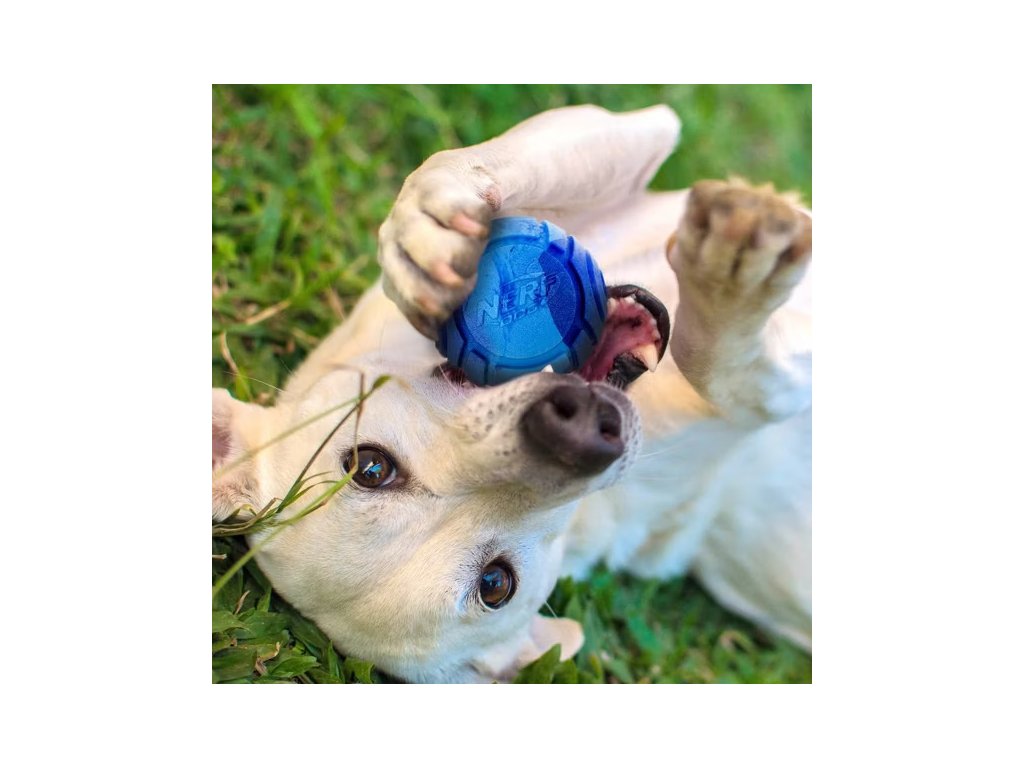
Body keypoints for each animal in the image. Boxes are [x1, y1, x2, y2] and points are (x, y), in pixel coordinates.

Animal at [212, 104, 812, 683]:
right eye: (496, 584)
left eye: (369, 467)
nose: (576, 429)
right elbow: (731, 370)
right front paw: (732, 282)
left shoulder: (624, 140)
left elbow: (459, 166)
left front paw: (425, 225)